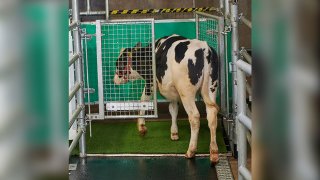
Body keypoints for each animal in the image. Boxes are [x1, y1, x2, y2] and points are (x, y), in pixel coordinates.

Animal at [113, 34, 220, 165]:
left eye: (118, 64)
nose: (114, 80)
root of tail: (204, 48)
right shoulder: (172, 93)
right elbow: (173, 109)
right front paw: (174, 133)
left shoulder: (150, 83)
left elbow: (143, 100)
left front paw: (141, 127)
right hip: (211, 88)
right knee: (212, 115)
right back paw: (214, 152)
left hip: (186, 91)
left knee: (194, 117)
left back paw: (191, 151)